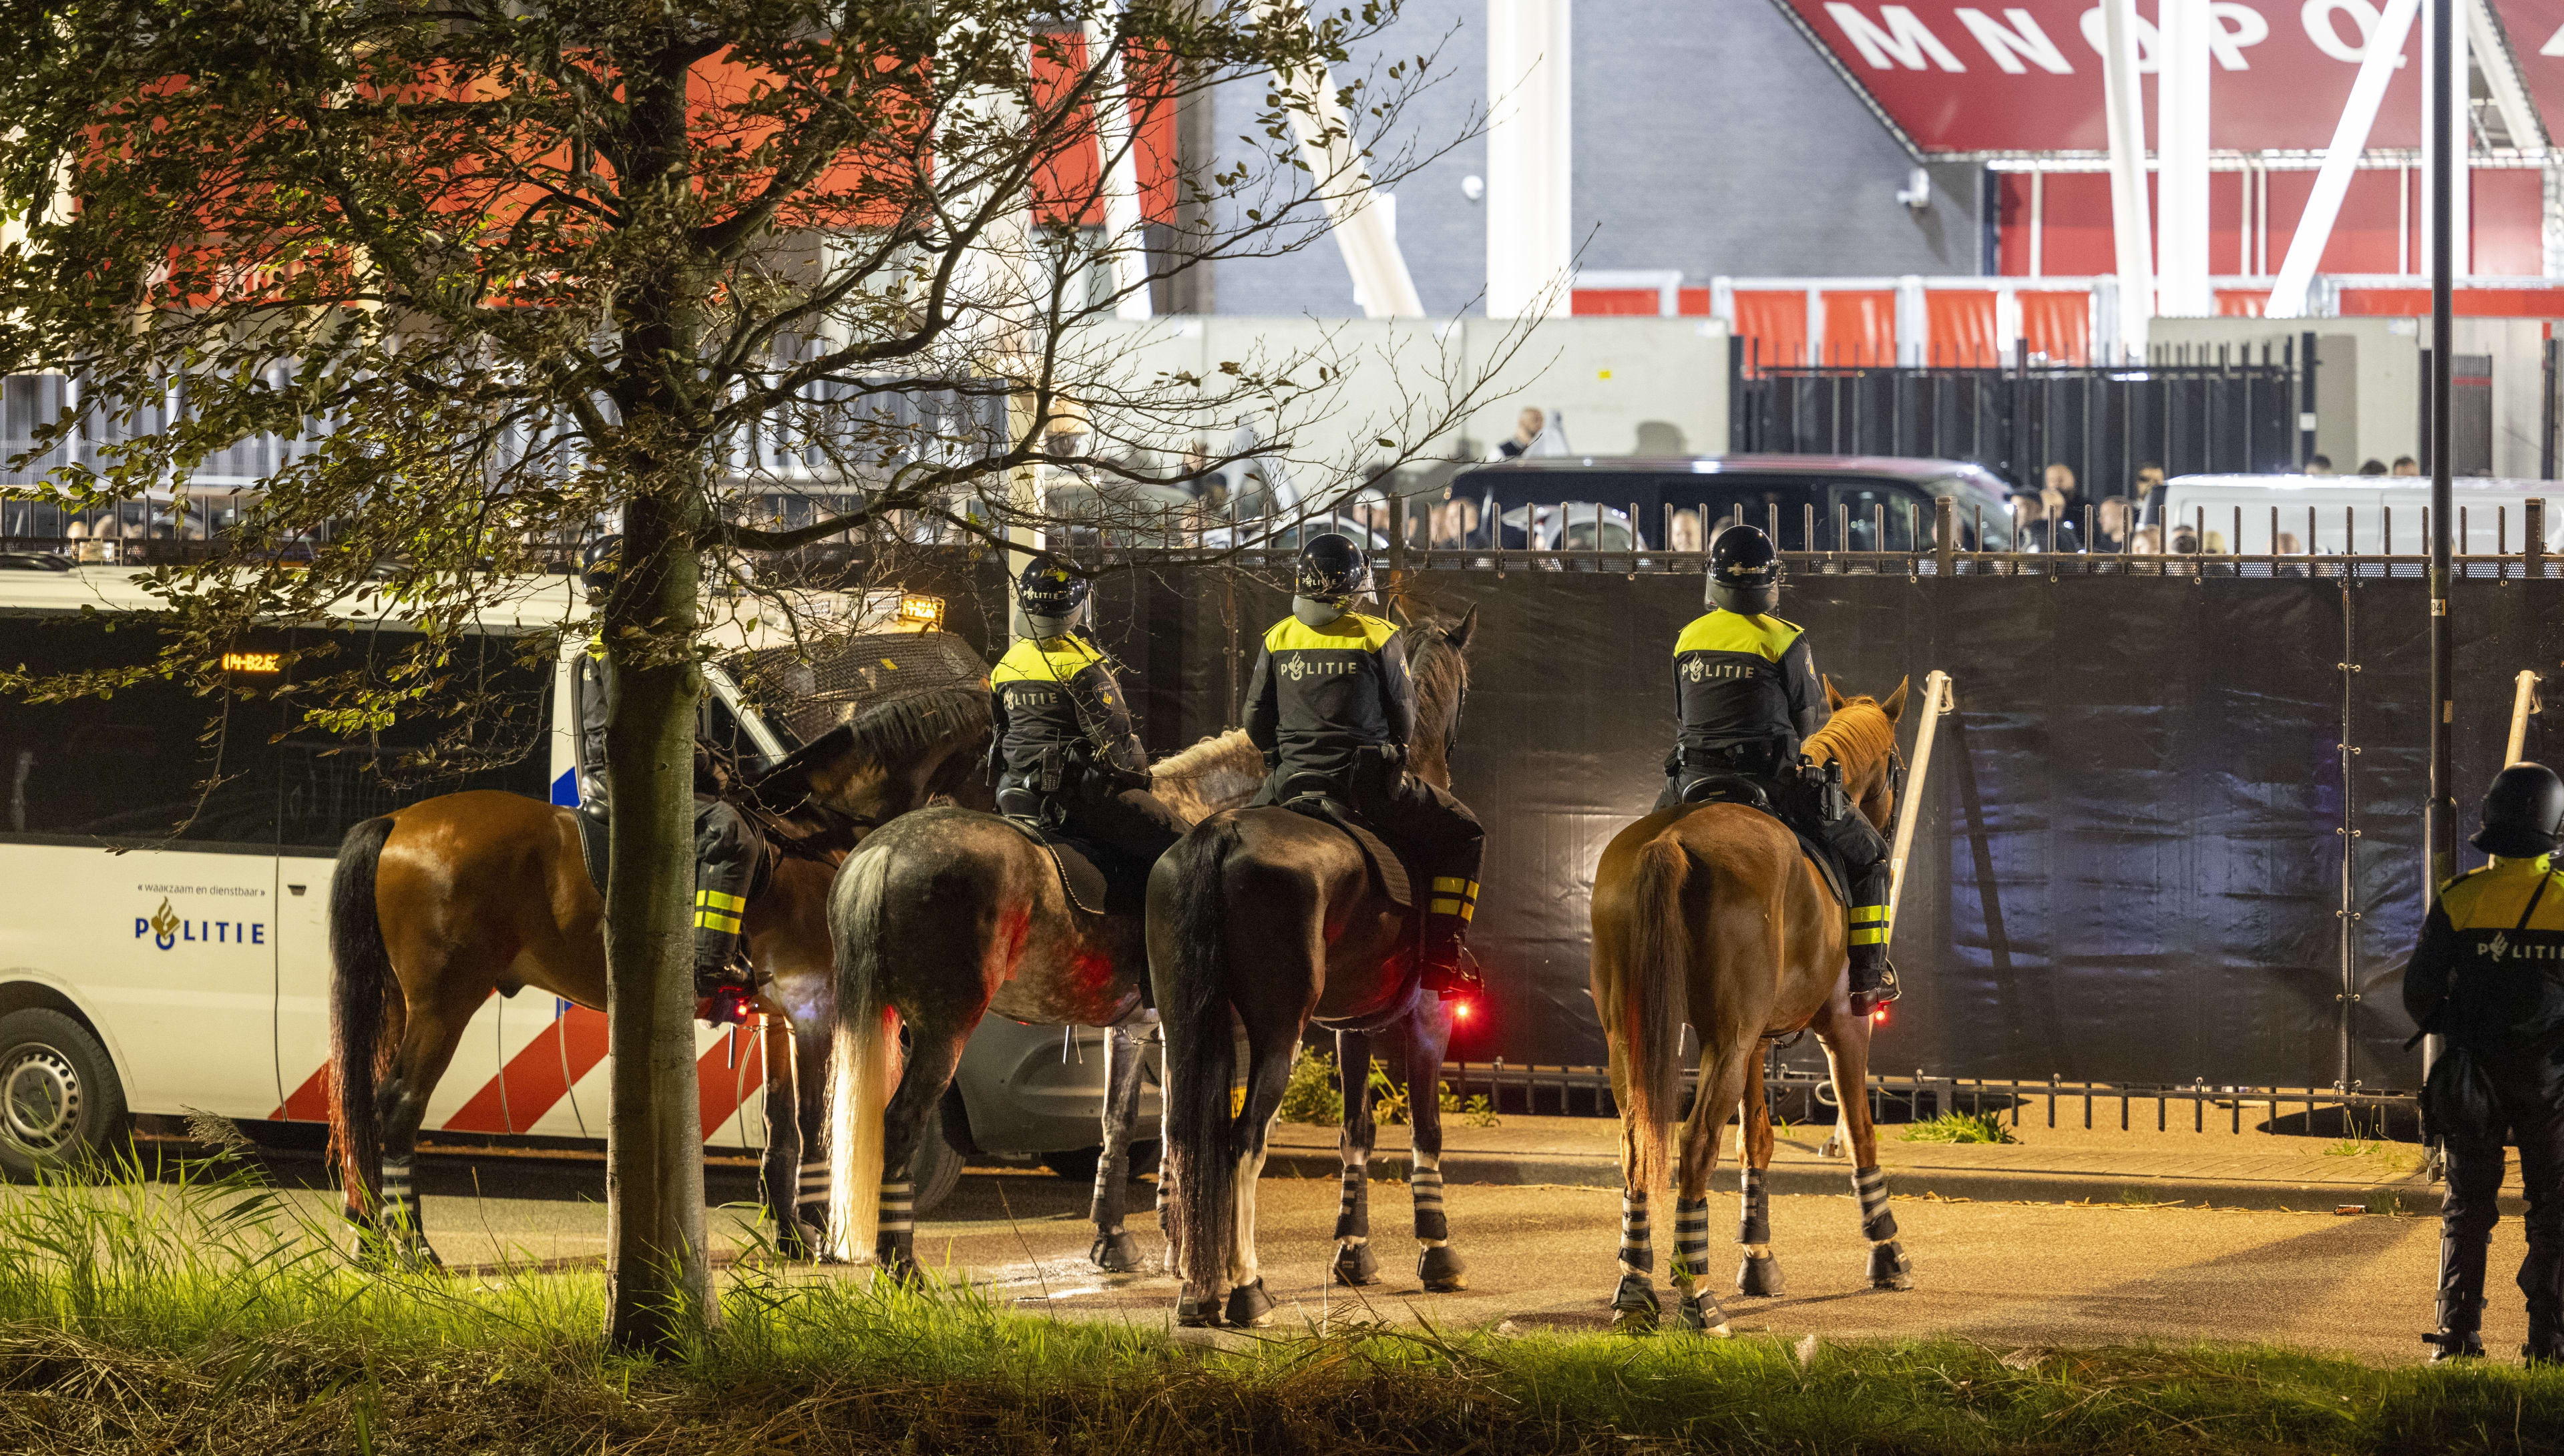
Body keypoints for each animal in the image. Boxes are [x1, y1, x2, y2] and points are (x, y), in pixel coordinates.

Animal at [331, 687, 990, 1261]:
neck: (814, 833)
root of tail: (398, 819)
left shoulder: (778, 1017)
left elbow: (780, 1124)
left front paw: (791, 1236)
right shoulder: (814, 1008)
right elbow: (814, 1119)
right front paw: (824, 1233)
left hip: (402, 1002)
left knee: (367, 1104)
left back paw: (372, 1239)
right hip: (445, 1003)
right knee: (399, 1103)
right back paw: (414, 1246)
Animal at [820, 728, 1261, 1271]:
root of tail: (884, 849)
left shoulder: (1132, 1027)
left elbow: (1118, 1123)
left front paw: (1114, 1235)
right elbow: (1176, 1122)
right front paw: (1177, 1241)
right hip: (944, 1029)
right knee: (902, 1122)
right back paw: (901, 1264)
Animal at [1148, 605, 1476, 1332]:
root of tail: (1220, 836)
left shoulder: (1352, 1025)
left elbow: (1356, 1131)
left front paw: (1353, 1251)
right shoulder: (1428, 1013)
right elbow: (1427, 1129)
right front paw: (1438, 1251)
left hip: (1188, 1024)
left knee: (1187, 1134)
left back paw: (1197, 1290)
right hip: (1277, 1031)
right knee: (1243, 1140)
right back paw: (1245, 1287)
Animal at [1589, 676, 1918, 1332]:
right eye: (1895, 763)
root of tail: (1669, 840)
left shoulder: (1756, 1044)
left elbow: (1757, 1141)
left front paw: (1759, 1258)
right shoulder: (1844, 1027)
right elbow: (1861, 1134)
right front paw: (1887, 1251)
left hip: (1637, 1036)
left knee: (1637, 1144)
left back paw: (1636, 1288)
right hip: (1727, 1038)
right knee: (1693, 1144)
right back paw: (1697, 1296)